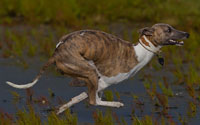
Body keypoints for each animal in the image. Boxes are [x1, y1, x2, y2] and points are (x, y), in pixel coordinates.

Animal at [6, 23, 190, 109]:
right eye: (168, 30)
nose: (187, 34)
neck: (140, 50)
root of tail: (56, 52)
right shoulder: (104, 81)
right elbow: (91, 97)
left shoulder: (98, 83)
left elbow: (80, 96)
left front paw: (63, 107)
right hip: (89, 71)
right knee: (94, 101)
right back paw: (116, 104)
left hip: (87, 72)